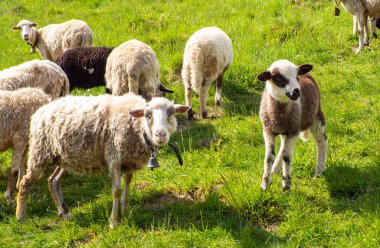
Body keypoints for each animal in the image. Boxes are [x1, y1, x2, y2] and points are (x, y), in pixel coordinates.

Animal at [16, 92, 190, 229]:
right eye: (148, 115)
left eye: (172, 113)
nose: (160, 134)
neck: (137, 128)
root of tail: (41, 110)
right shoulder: (114, 158)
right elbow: (116, 190)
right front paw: (114, 222)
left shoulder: (129, 161)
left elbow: (128, 182)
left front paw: (126, 208)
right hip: (39, 151)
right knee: (25, 182)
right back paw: (20, 216)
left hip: (64, 158)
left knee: (53, 181)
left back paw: (64, 212)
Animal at [256, 60, 328, 192]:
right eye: (278, 78)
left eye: (296, 76)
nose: (296, 91)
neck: (278, 115)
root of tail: (307, 74)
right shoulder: (268, 130)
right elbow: (269, 157)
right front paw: (264, 185)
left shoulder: (294, 130)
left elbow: (287, 157)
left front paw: (286, 185)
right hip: (286, 130)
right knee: (282, 146)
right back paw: (275, 170)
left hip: (316, 116)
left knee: (322, 141)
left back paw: (319, 173)